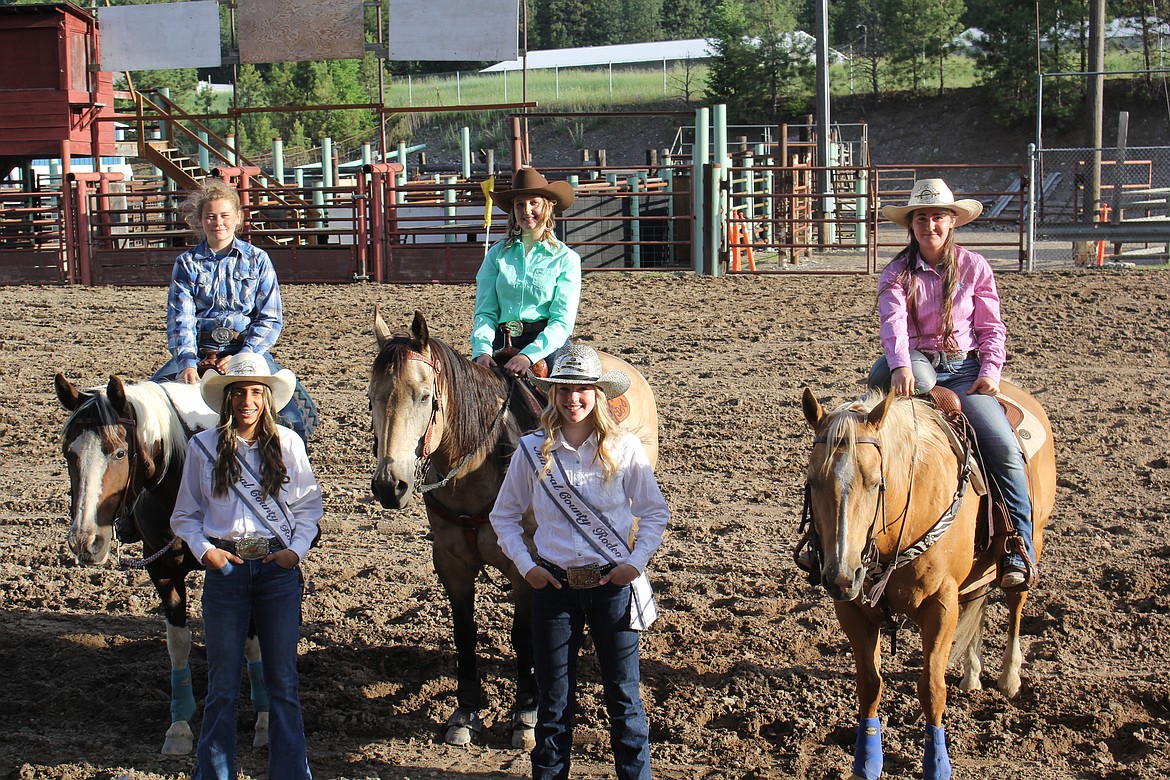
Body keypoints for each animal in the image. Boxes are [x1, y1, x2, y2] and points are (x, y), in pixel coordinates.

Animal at [54, 374, 271, 753]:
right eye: (69, 452)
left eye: (119, 452)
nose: (85, 541)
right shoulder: (161, 568)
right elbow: (178, 643)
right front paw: (180, 727)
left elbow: (251, 641)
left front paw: (263, 722)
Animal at [365, 308, 659, 743]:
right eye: (372, 397)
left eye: (423, 395)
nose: (390, 485)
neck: (477, 467)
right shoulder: (451, 565)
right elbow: (465, 633)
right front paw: (465, 712)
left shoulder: (527, 568)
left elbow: (523, 637)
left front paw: (526, 713)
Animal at [800, 383, 1057, 780]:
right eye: (813, 483)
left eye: (876, 483)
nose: (841, 575)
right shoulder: (852, 610)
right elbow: (869, 685)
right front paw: (867, 762)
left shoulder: (940, 604)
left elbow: (932, 689)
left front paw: (937, 765)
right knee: (977, 603)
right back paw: (971, 674)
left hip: (1035, 540)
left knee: (1016, 602)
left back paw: (1009, 676)